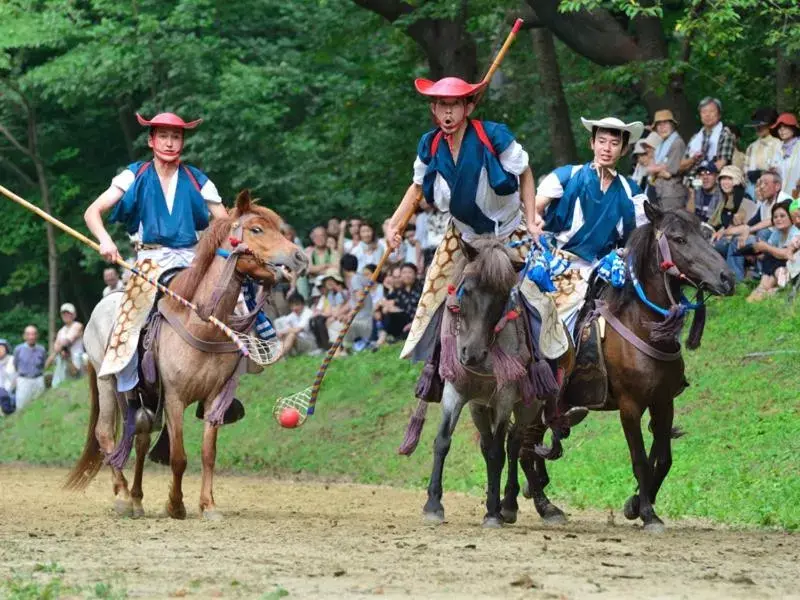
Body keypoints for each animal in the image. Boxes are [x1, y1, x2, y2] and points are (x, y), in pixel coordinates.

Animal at [65, 192, 308, 520]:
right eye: (256, 229)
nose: (300, 258)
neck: (201, 322)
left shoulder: (215, 398)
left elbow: (208, 454)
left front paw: (208, 505)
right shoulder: (174, 398)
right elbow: (178, 456)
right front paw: (176, 505)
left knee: (140, 435)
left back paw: (137, 499)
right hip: (108, 384)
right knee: (105, 434)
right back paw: (123, 497)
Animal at [506, 204, 736, 532]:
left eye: (706, 234)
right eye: (678, 239)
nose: (726, 278)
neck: (642, 325)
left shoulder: (663, 402)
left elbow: (662, 458)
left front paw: (635, 504)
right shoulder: (630, 406)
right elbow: (639, 459)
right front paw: (649, 514)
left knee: (524, 443)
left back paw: (532, 502)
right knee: (517, 443)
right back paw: (525, 505)